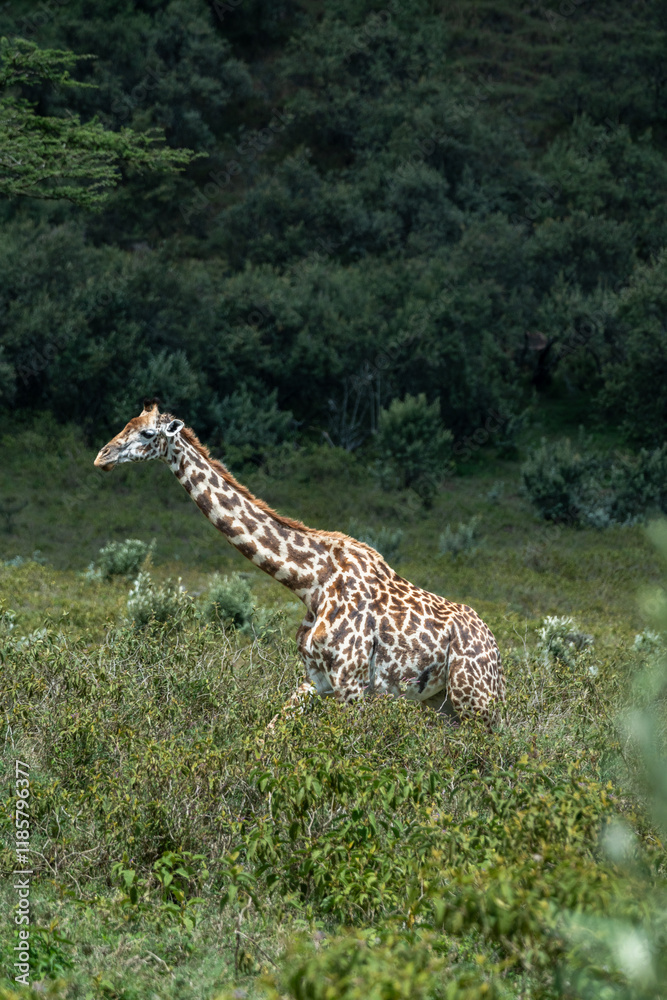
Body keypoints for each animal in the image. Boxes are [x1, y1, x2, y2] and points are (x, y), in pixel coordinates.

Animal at [94, 400, 505, 729]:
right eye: (126, 424)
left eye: (147, 433)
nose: (103, 457)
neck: (311, 582)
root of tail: (497, 651)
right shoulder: (315, 678)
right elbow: (270, 732)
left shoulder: (353, 682)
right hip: (442, 703)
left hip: (476, 699)